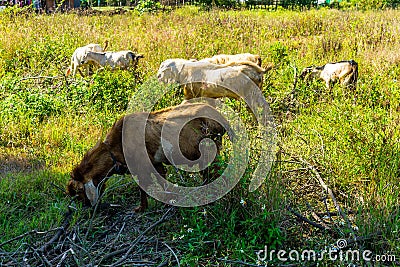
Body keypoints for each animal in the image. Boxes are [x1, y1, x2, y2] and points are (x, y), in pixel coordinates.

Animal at [67, 103, 230, 213]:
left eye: (79, 193)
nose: (87, 208)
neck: (114, 148)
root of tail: (220, 118)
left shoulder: (141, 166)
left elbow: (143, 187)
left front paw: (141, 208)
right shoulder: (155, 163)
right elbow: (162, 181)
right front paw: (167, 202)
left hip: (209, 150)